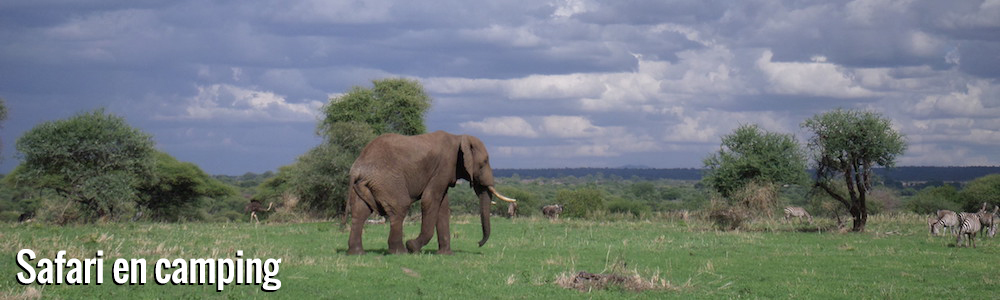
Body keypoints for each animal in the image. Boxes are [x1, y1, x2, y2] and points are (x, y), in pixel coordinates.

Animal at [346, 130, 516, 254]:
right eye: (484, 162)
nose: (478, 243)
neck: (459, 138)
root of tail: (357, 167)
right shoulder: (443, 167)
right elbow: (430, 199)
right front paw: (412, 246)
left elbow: (443, 207)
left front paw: (445, 254)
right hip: (387, 181)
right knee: (400, 208)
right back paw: (400, 252)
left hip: (364, 185)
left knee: (359, 213)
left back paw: (357, 253)